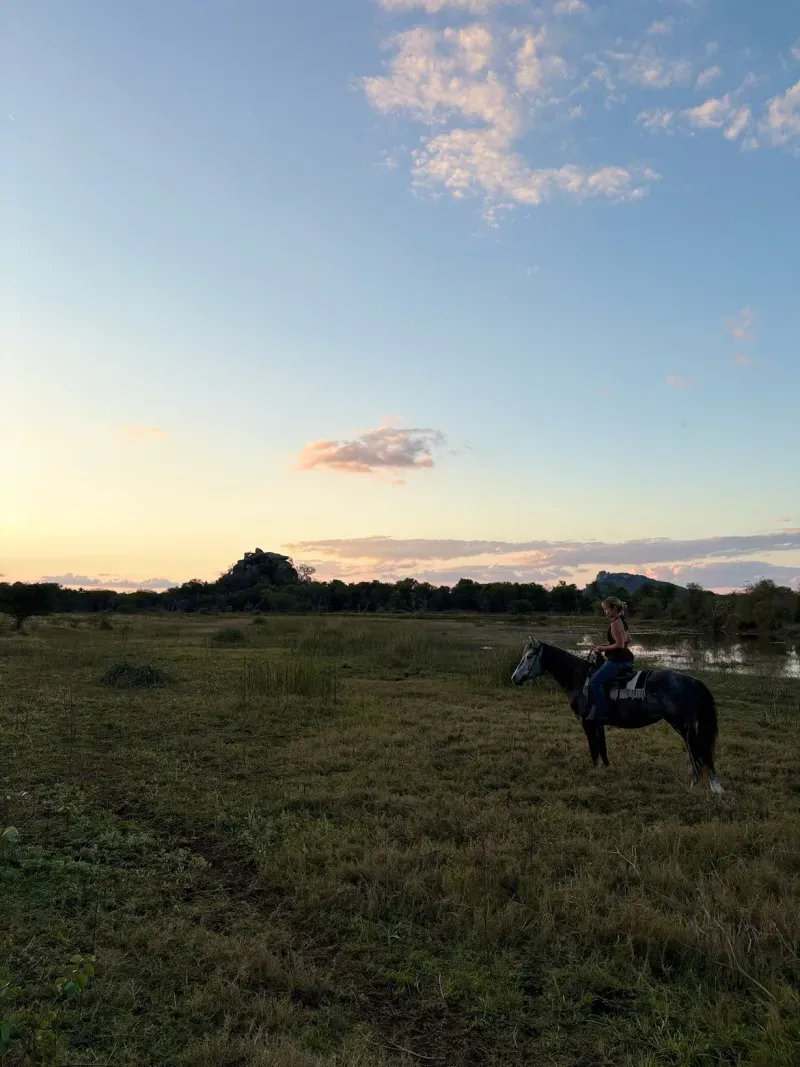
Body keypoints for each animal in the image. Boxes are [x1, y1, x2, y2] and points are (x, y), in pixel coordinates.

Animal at [511, 638, 724, 793]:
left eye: (529, 656)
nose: (515, 678)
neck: (579, 678)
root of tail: (694, 682)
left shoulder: (587, 723)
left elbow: (594, 750)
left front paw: (595, 774)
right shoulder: (598, 723)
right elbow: (603, 749)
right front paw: (605, 771)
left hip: (685, 726)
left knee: (698, 754)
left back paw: (704, 787)